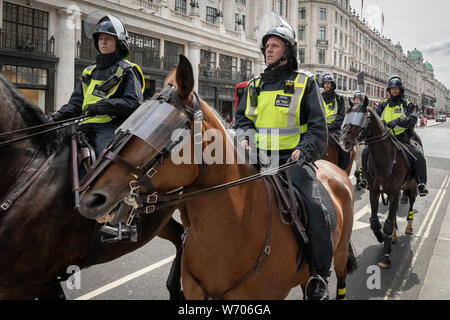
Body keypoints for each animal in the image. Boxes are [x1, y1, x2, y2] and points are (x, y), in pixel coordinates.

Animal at [342, 97, 418, 270]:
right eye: (347, 116)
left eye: (363, 119)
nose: (345, 143)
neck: (384, 158)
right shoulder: (375, 190)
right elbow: (375, 221)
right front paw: (381, 237)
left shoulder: (394, 191)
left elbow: (388, 223)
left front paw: (386, 255)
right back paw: (394, 236)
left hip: (412, 187)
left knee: (410, 204)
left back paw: (409, 228)